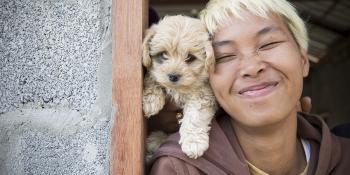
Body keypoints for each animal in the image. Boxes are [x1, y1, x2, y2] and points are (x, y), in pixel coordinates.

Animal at [142, 15, 216, 159]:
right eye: (163, 55)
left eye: (190, 57)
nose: (173, 76)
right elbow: (152, 77)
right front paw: (151, 101)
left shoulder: (203, 94)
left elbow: (195, 117)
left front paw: (193, 142)